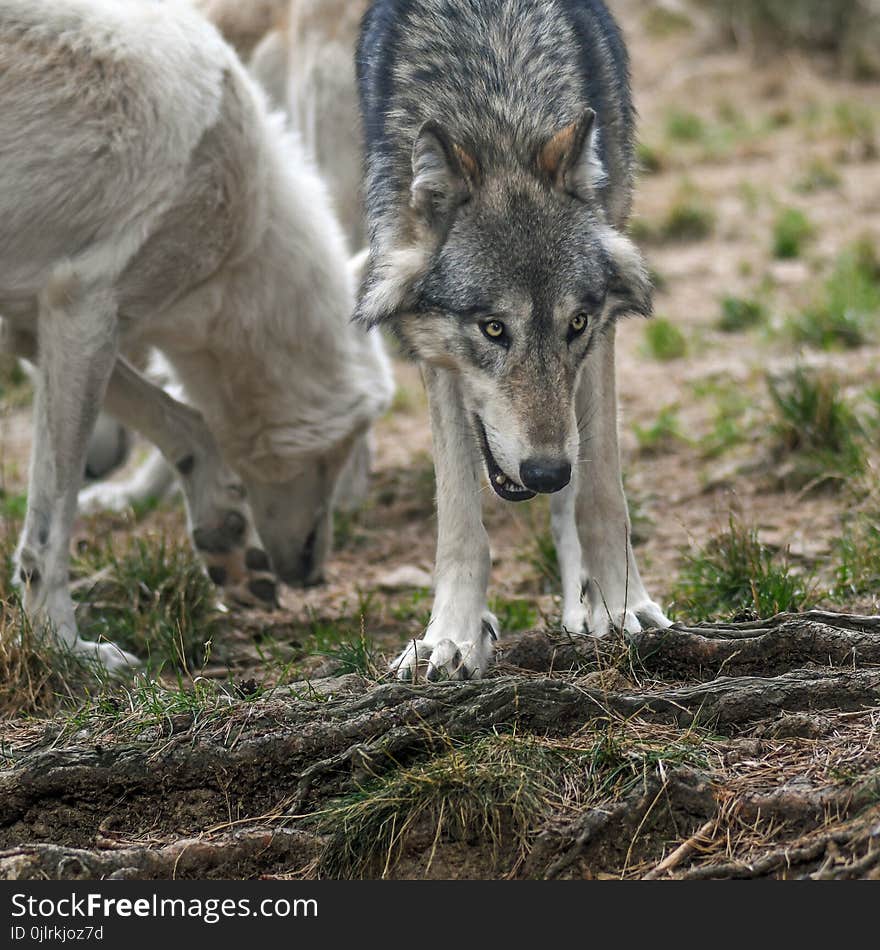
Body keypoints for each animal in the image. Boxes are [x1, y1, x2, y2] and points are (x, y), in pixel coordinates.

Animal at [0, 0, 392, 668]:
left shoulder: (40, 324)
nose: (314, 575)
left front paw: (226, 541)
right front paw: (64, 648)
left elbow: (188, 424)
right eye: (345, 442)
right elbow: (50, 529)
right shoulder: (84, 313)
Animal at [354, 0, 672, 684]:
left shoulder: (603, 332)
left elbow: (601, 495)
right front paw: (451, 636)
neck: (497, 106)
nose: (545, 471)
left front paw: (620, 604)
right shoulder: (436, 355)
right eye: (493, 328)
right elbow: (459, 522)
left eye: (574, 324)